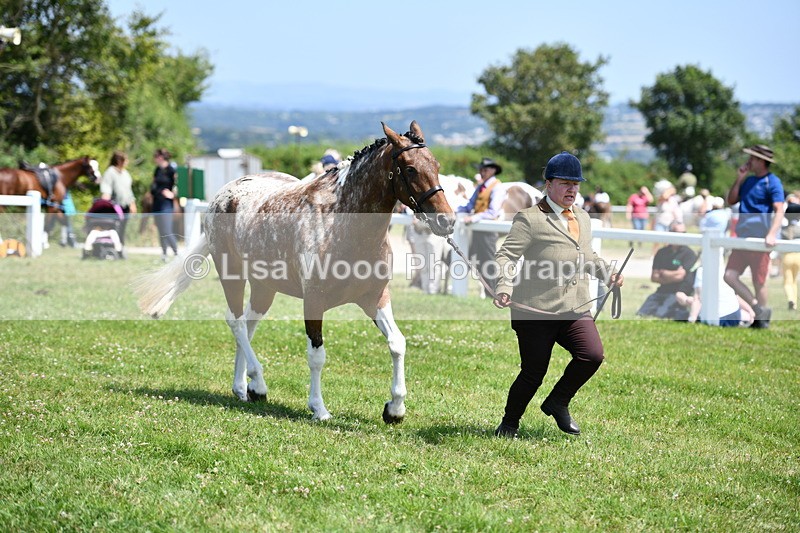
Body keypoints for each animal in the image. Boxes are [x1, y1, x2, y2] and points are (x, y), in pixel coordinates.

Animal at [135, 121, 455, 423]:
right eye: (410, 169)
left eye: (437, 165)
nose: (447, 221)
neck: (343, 223)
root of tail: (223, 195)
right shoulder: (314, 301)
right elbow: (317, 355)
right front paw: (319, 409)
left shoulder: (374, 298)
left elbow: (397, 343)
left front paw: (395, 409)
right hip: (233, 275)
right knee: (236, 322)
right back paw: (258, 384)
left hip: (264, 287)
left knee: (248, 325)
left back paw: (242, 388)